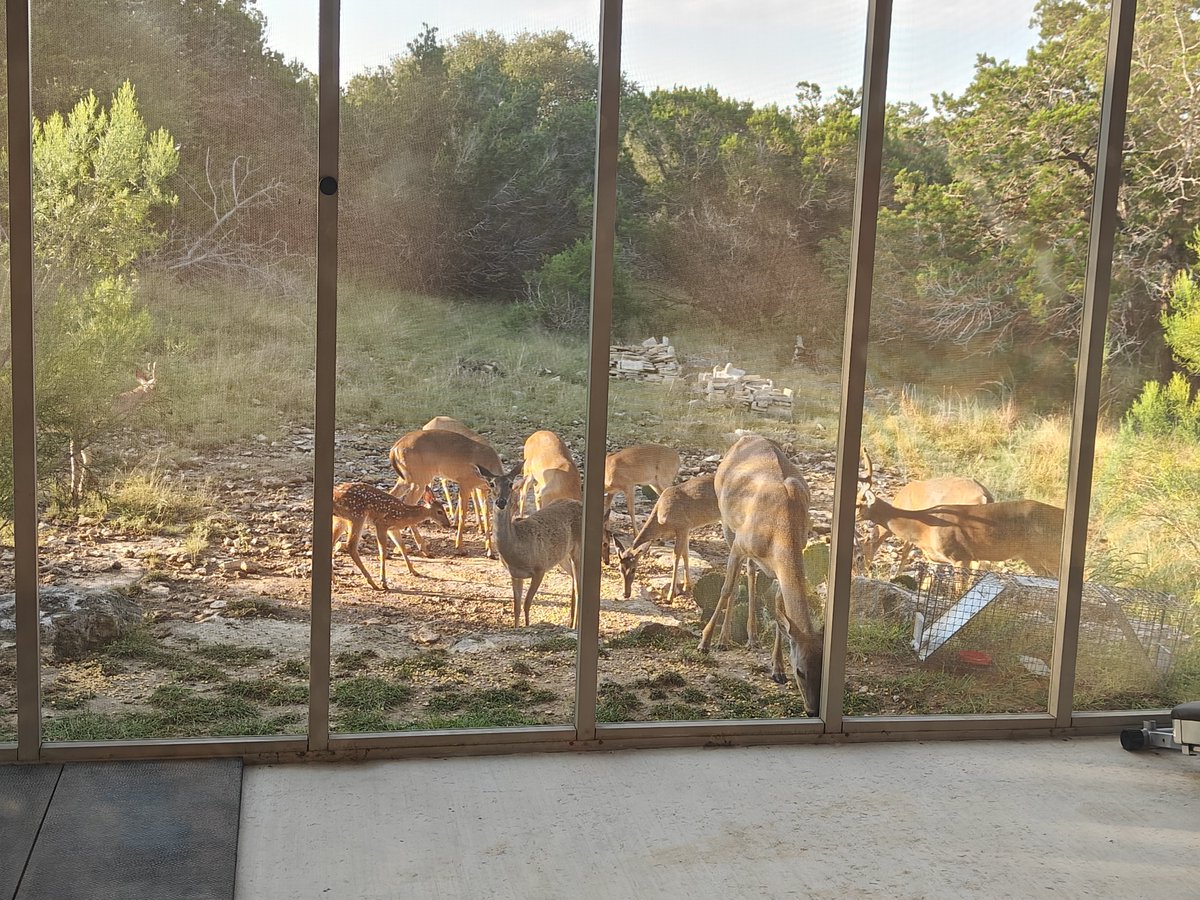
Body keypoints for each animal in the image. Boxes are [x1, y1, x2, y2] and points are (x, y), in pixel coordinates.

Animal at [389, 428, 502, 557]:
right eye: (492, 484)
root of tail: (394, 449)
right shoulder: (465, 483)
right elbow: (463, 515)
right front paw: (460, 548)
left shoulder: (481, 489)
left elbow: (486, 515)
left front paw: (489, 551)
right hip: (420, 479)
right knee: (408, 503)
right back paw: (423, 548)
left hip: (406, 479)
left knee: (392, 495)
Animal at [475, 463, 583, 628]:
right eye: (491, 483)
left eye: (510, 484)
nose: (501, 502)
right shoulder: (514, 574)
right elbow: (517, 607)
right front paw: (516, 627)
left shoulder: (540, 568)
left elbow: (527, 604)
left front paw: (527, 625)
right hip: (561, 556)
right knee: (573, 581)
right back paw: (571, 622)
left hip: (578, 549)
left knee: (578, 587)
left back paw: (574, 624)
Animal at [614, 473, 720, 602]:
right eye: (620, 568)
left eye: (634, 569)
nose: (626, 594)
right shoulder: (686, 530)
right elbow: (685, 554)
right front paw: (687, 586)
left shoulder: (682, 526)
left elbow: (675, 556)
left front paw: (670, 596)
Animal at [697, 434, 823, 716]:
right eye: (800, 670)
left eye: (824, 671)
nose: (812, 711)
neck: (781, 530)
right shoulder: (740, 543)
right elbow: (726, 588)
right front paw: (705, 642)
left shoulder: (784, 564)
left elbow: (778, 610)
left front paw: (777, 670)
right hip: (726, 521)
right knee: (736, 580)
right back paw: (723, 640)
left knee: (751, 573)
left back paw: (752, 638)